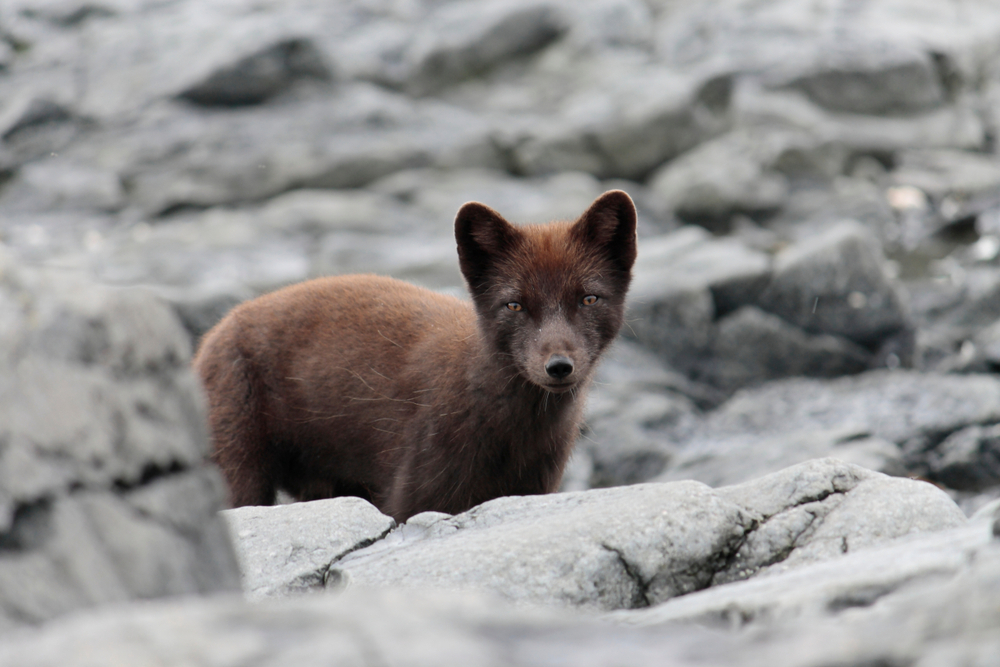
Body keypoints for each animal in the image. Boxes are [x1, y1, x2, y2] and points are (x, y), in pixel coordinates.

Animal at [191, 188, 636, 520]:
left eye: (589, 298)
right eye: (514, 304)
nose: (558, 366)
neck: (512, 440)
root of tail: (211, 335)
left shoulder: (536, 486)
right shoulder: (416, 489)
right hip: (236, 454)